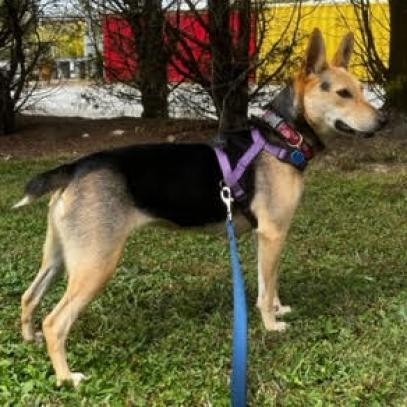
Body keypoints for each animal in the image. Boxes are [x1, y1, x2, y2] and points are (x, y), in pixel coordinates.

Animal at [15, 30, 386, 388]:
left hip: (60, 255)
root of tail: (74, 167)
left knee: (29, 297)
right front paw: (271, 324)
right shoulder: (273, 233)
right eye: (343, 93)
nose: (383, 121)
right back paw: (67, 377)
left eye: (361, 89)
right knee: (55, 322)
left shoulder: (270, 237)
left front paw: (278, 309)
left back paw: (30, 340)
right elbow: (266, 289)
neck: (281, 137)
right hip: (96, 263)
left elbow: (270, 282)